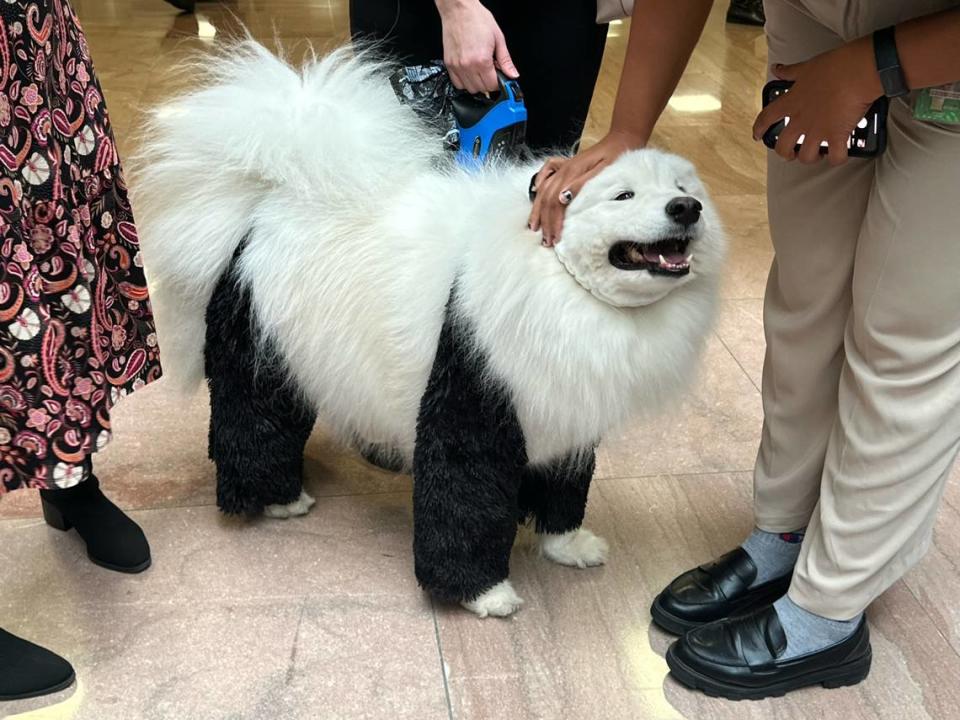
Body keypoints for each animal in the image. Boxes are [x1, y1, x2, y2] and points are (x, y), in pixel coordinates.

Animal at [131, 42, 724, 620]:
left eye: (681, 187)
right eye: (623, 196)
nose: (686, 207)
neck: (559, 282)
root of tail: (261, 203)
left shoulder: (565, 412)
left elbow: (564, 487)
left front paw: (568, 546)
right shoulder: (472, 396)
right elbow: (466, 502)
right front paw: (483, 594)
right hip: (259, 356)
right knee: (253, 425)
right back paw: (278, 500)